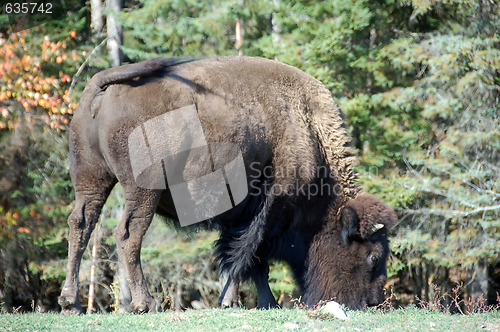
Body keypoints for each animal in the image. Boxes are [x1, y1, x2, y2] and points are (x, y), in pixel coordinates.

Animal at [57, 56, 394, 314]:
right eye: (374, 257)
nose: (372, 304)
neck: (310, 131)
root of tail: (102, 84)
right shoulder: (266, 213)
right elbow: (250, 258)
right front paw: (264, 302)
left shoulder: (239, 216)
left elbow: (234, 256)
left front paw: (233, 302)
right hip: (143, 190)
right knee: (129, 234)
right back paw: (144, 303)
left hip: (91, 179)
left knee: (81, 224)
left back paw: (70, 303)